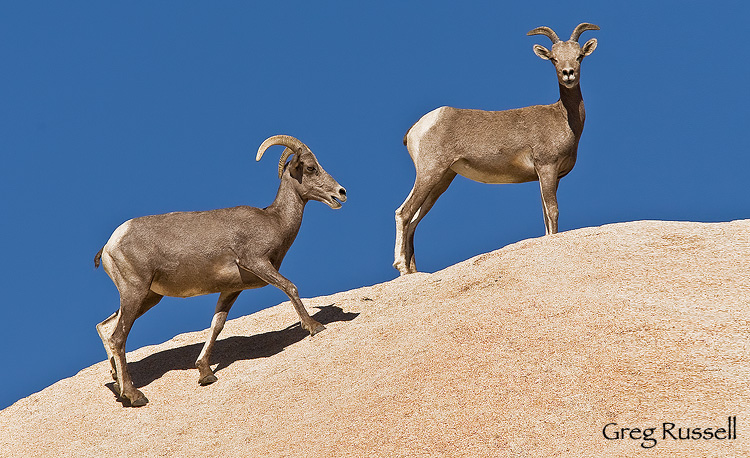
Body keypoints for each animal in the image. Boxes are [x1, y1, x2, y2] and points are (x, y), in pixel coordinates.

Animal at [94, 134, 350, 406]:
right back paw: (134, 396)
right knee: (117, 337)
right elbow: (290, 287)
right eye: (311, 168)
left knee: (104, 328)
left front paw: (205, 373)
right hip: (136, 291)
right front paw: (314, 326)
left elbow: (217, 325)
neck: (275, 221)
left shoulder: (231, 290)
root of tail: (110, 244)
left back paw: (117, 383)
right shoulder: (256, 262)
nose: (341, 192)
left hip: (149, 297)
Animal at [394, 22, 600, 276]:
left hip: (442, 181)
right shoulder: (547, 168)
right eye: (553, 59)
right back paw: (402, 267)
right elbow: (553, 211)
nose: (568, 73)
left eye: (579, 56)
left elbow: (545, 216)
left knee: (414, 220)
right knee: (404, 213)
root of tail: (420, 126)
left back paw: (412, 272)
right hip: (430, 172)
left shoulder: (549, 176)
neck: (563, 118)